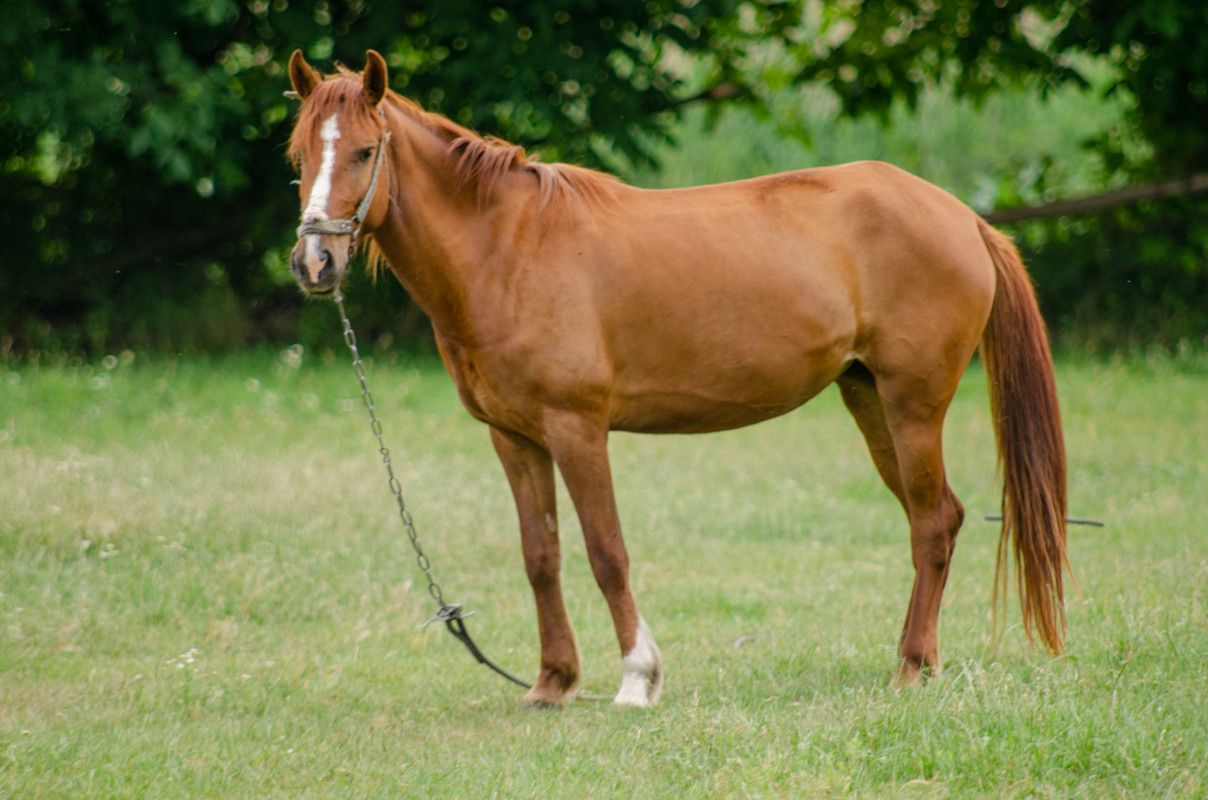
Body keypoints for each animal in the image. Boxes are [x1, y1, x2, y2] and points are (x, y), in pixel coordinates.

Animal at [287, 50, 1072, 710]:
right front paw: (552, 683)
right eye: (299, 155)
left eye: (363, 151)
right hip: (869, 398)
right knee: (934, 517)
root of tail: (964, 217)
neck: (507, 249)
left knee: (933, 524)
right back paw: (920, 660)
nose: (313, 264)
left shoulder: (577, 429)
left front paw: (638, 679)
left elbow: (606, 552)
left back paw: (911, 667)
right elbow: (542, 557)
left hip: (913, 405)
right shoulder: (514, 438)